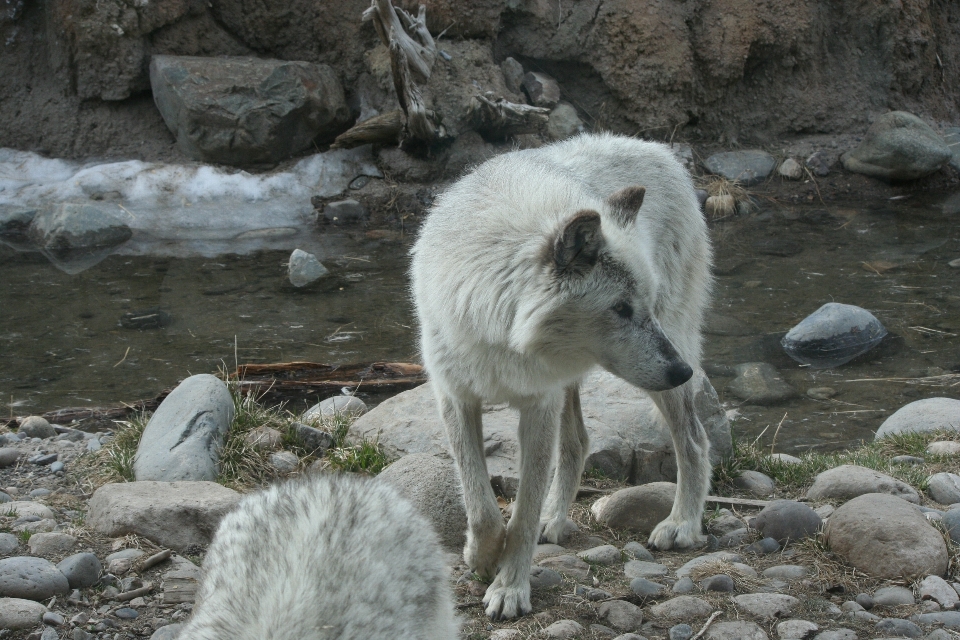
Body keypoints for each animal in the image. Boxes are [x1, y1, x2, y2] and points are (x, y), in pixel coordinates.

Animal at [408, 131, 716, 620]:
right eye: (620, 309)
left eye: (643, 306)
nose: (683, 371)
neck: (501, 324)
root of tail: (657, 148)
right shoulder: (455, 397)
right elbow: (481, 505)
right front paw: (482, 557)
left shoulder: (538, 404)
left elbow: (522, 511)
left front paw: (510, 587)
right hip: (579, 384)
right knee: (578, 443)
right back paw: (555, 519)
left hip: (656, 371)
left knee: (694, 440)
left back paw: (682, 523)